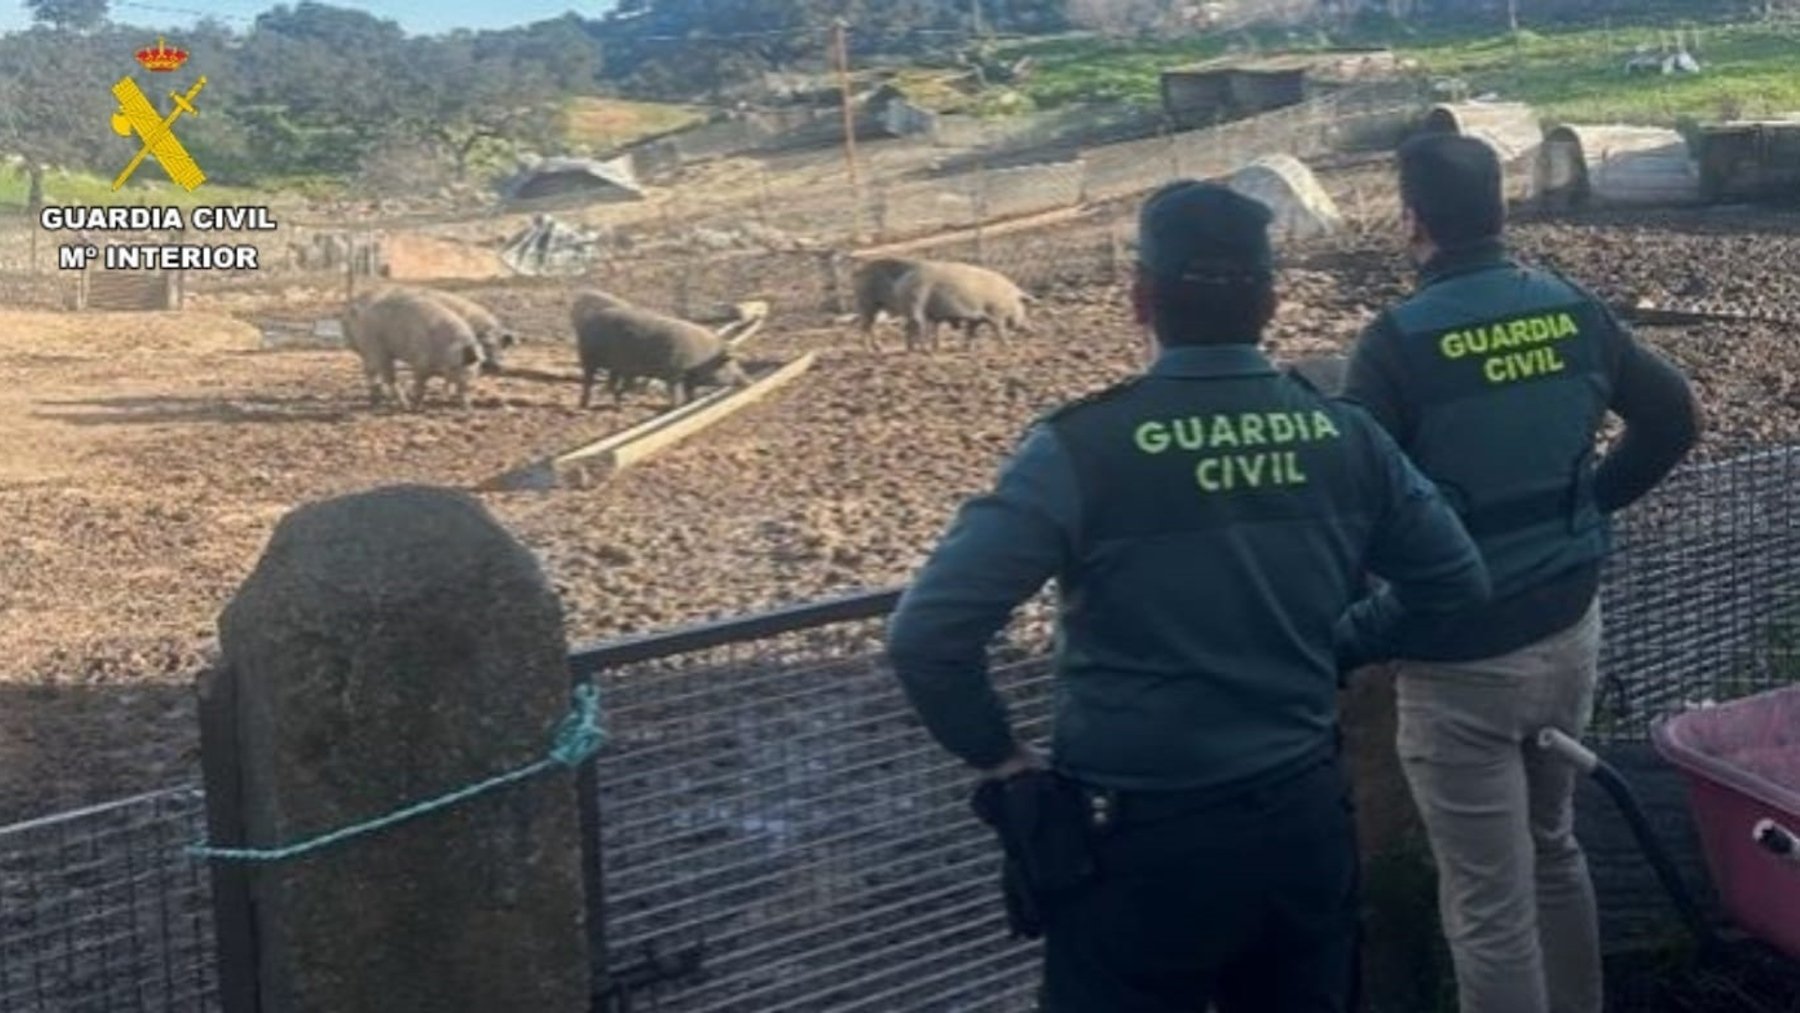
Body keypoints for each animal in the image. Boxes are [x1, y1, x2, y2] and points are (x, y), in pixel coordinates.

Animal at [340, 287, 486, 410]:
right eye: (463, 364)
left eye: (476, 368)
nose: (469, 409)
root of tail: (352, 307)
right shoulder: (421, 362)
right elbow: (421, 386)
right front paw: (416, 406)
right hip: (377, 348)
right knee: (389, 378)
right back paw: (404, 406)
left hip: (367, 351)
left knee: (371, 374)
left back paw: (376, 402)